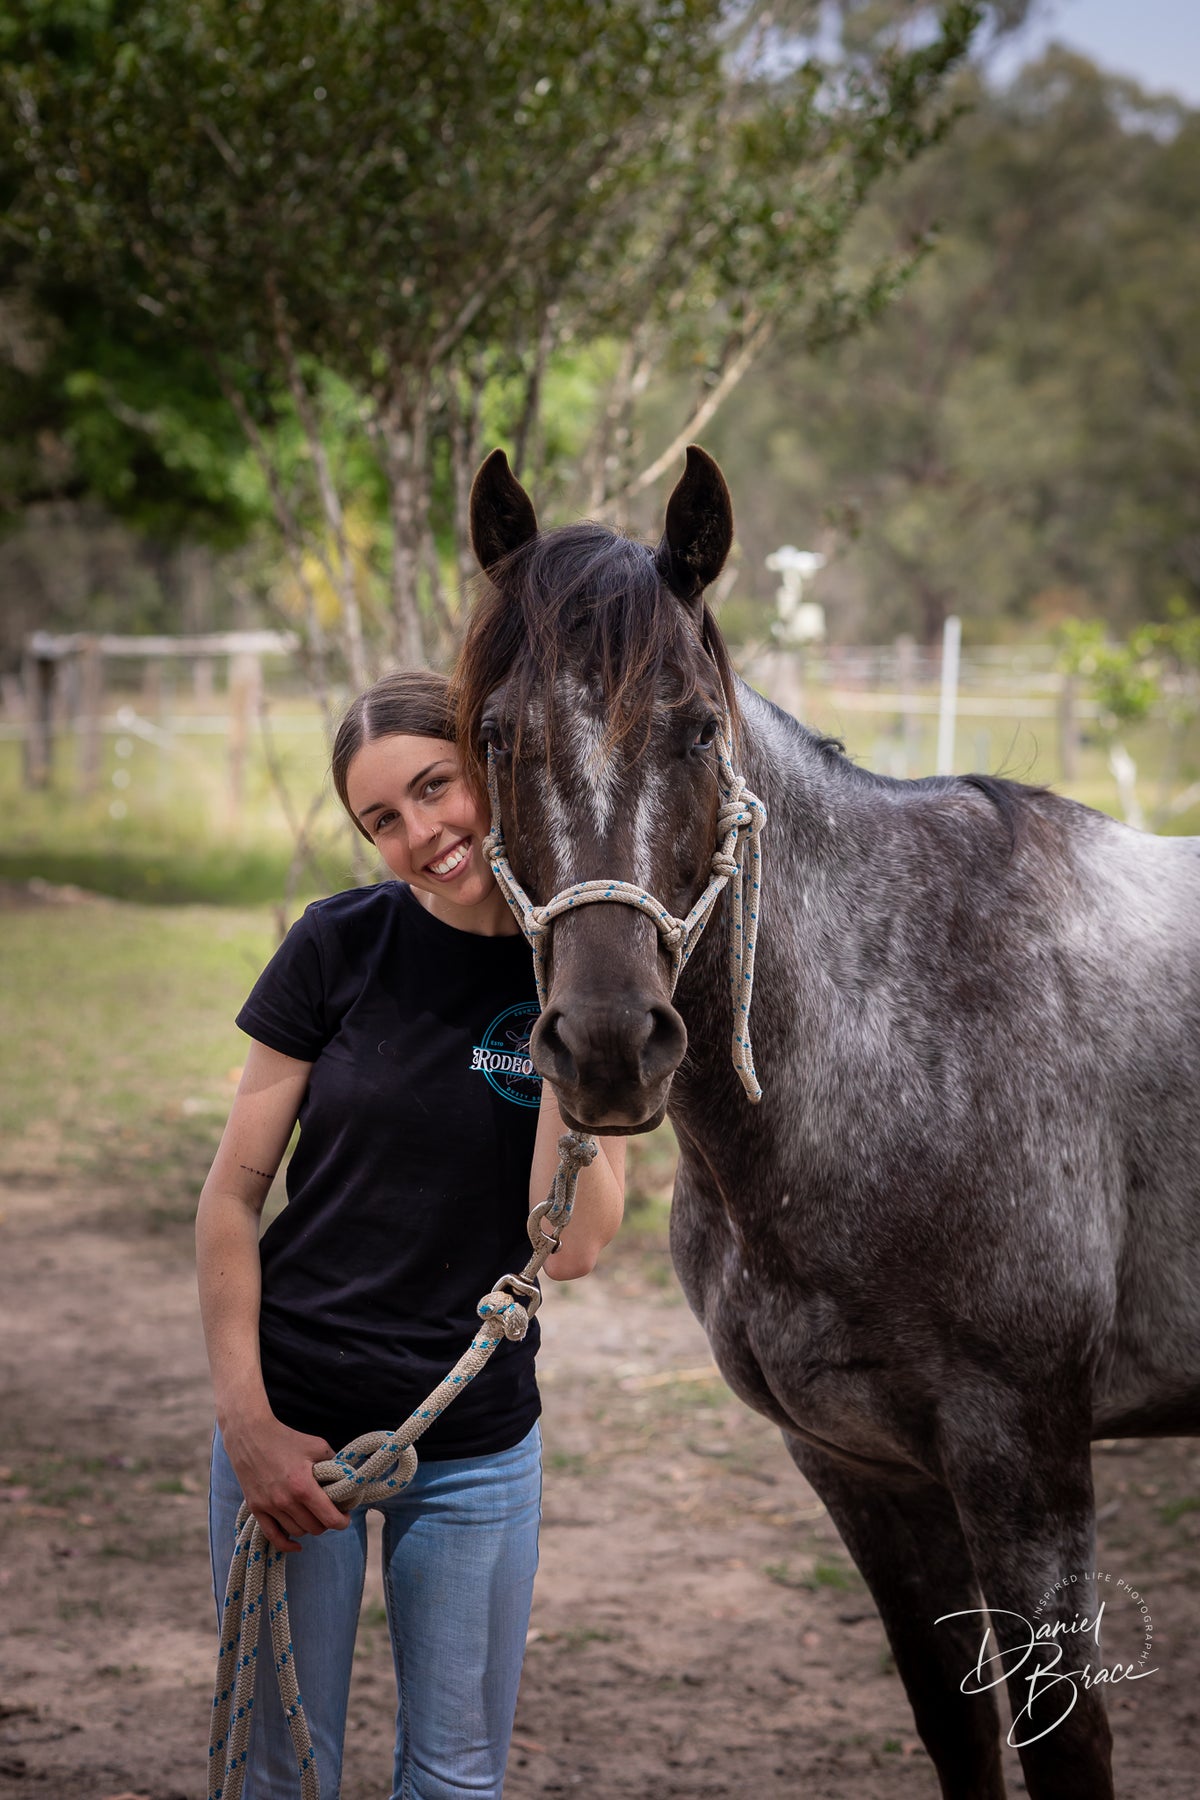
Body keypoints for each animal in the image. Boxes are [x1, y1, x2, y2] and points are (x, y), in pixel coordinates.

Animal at [455, 444, 1200, 1800]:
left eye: (699, 731)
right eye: (494, 734)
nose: (609, 1045)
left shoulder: (1026, 1460)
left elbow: (1067, 1739)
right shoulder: (860, 1470)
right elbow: (957, 1728)